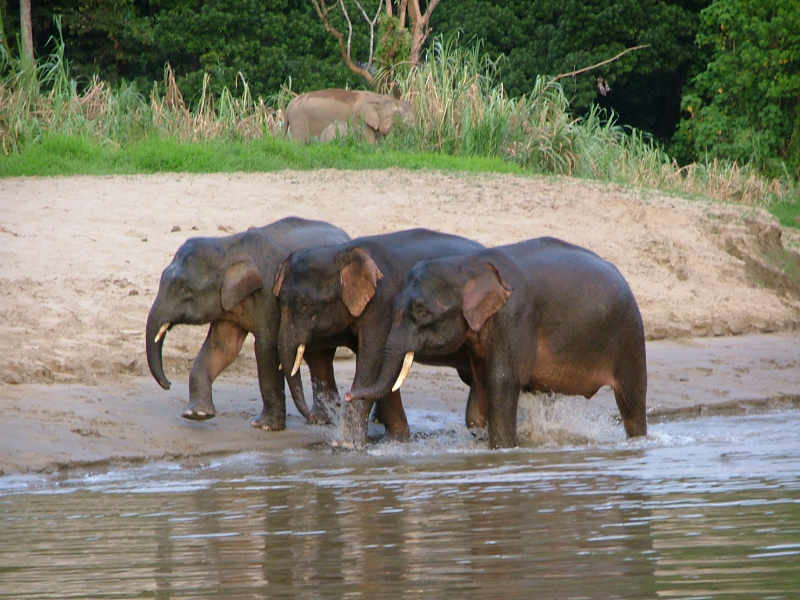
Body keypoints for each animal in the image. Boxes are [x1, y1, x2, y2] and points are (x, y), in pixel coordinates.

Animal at [146, 218, 350, 428]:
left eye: (185, 290)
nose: (168, 385)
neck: (228, 246)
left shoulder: (270, 294)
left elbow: (266, 347)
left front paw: (264, 426)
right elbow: (221, 348)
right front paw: (197, 414)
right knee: (319, 357)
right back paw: (323, 419)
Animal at [272, 227, 484, 442]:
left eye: (305, 305)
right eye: (279, 301)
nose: (312, 418)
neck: (341, 251)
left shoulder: (382, 306)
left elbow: (372, 361)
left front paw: (346, 444)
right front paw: (394, 440)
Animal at [284, 88, 416, 144]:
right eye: (398, 113)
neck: (377, 98)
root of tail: (289, 105)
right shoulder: (359, 120)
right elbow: (369, 141)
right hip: (299, 120)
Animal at [350, 237, 648, 448]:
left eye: (422, 312)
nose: (348, 395)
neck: (467, 266)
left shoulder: (514, 317)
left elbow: (501, 381)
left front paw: (502, 449)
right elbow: (479, 391)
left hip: (630, 334)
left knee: (632, 402)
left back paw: (638, 441)